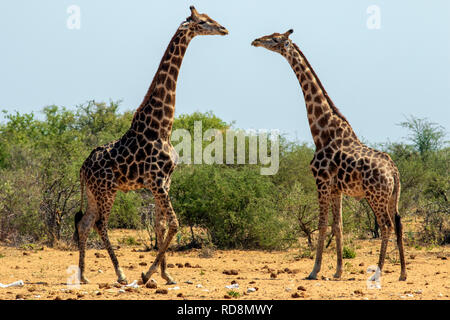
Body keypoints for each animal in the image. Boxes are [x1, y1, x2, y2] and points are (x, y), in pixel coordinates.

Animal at [74, 5, 229, 284]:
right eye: (203, 21)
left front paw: (166, 275)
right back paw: (120, 274)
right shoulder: (156, 181)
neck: (162, 127)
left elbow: (161, 224)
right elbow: (175, 224)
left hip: (93, 192)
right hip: (107, 190)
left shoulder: (164, 182)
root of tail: (82, 168)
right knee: (101, 224)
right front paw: (148, 274)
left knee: (84, 223)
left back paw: (83, 276)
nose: (223, 29)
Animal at [253, 29, 408, 280]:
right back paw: (403, 273)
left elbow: (323, 224)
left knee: (385, 225)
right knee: (399, 224)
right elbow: (338, 225)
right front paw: (337, 271)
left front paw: (314, 270)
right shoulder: (337, 188)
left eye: (275, 39)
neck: (322, 132)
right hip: (393, 196)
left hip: (375, 195)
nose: (256, 41)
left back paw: (378, 272)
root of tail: (394, 172)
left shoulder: (322, 182)